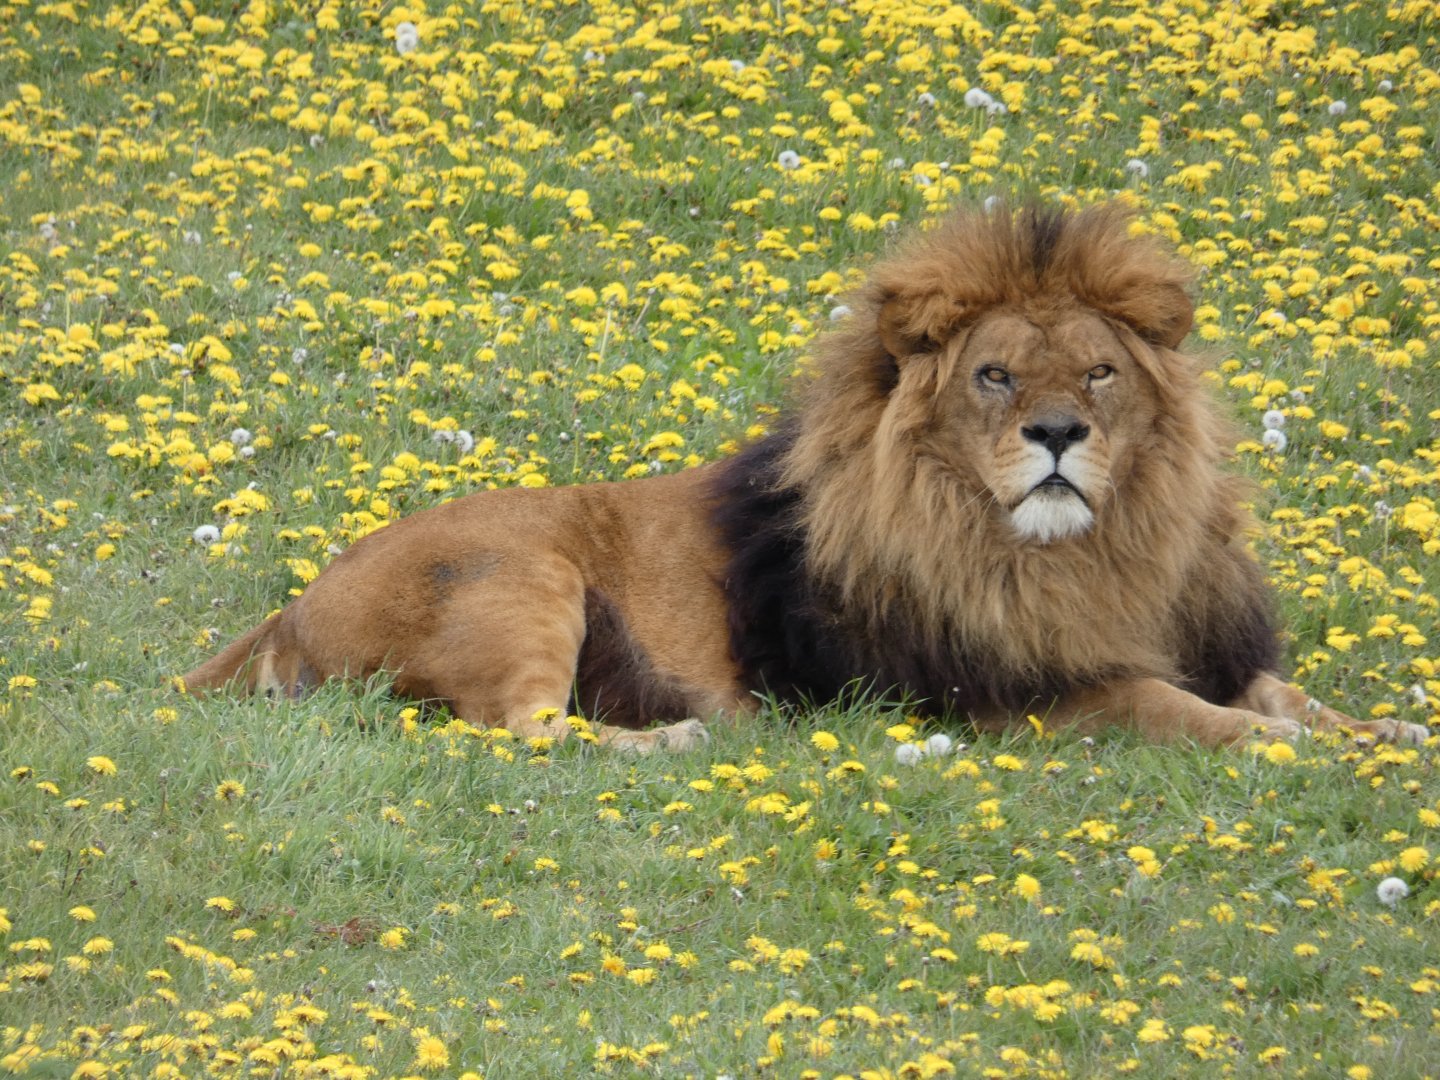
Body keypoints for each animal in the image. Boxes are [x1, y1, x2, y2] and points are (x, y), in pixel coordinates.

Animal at [181, 202, 1428, 752]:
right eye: (994, 375)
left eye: (1100, 372)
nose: (1059, 433)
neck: (1091, 555)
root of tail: (287, 609)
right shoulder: (1014, 693)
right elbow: (1176, 708)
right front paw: (1295, 749)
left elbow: (1280, 693)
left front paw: (1385, 732)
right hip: (526, 578)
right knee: (518, 733)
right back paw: (673, 742)